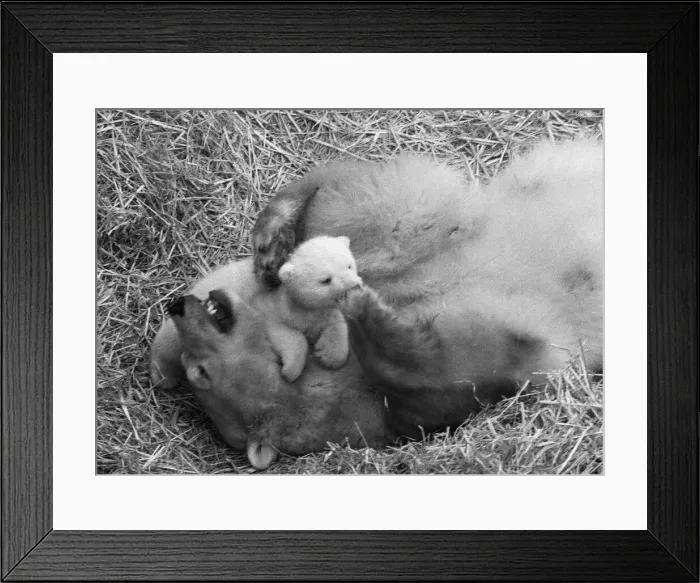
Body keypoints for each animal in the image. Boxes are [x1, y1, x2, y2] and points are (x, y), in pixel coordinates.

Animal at [252, 235, 363, 382]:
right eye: (326, 280)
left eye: (349, 265)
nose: (355, 286)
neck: (305, 307)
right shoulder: (274, 311)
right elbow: (285, 333)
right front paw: (290, 370)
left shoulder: (327, 312)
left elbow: (337, 325)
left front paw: (329, 357)